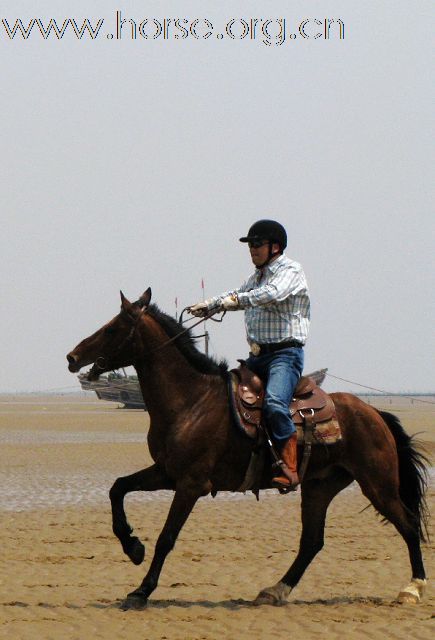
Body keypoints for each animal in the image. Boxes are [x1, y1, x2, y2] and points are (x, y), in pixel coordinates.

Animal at [66, 288, 430, 608]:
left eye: (112, 328)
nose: (73, 357)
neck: (192, 401)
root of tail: (374, 413)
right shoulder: (166, 472)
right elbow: (118, 488)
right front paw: (132, 546)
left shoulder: (191, 484)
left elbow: (167, 537)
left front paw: (141, 590)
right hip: (319, 486)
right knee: (312, 541)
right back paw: (274, 591)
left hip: (378, 484)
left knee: (408, 524)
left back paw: (412, 588)